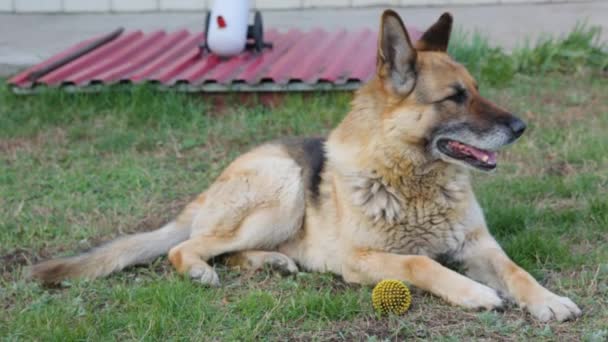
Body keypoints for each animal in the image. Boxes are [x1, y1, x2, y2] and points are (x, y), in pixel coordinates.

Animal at [28, 10, 580, 320]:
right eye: (455, 97)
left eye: (478, 89)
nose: (521, 127)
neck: (412, 180)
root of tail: (208, 191)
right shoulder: (362, 259)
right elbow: (420, 262)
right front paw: (472, 292)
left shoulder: (479, 245)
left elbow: (516, 270)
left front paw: (547, 299)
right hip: (284, 189)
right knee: (184, 248)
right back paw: (204, 270)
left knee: (225, 250)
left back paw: (272, 261)